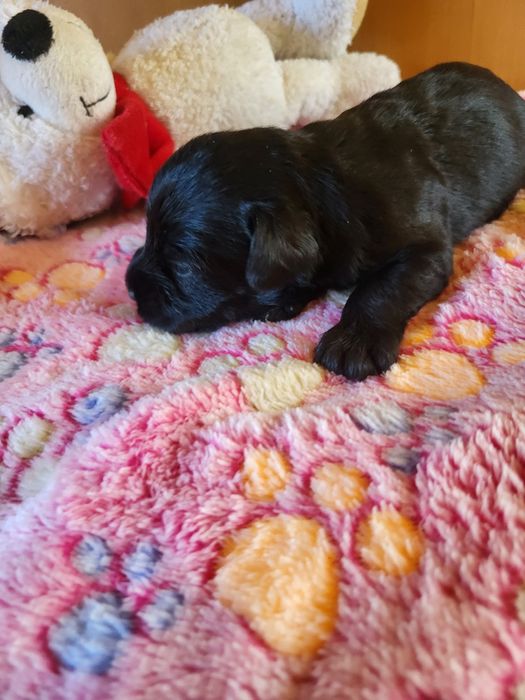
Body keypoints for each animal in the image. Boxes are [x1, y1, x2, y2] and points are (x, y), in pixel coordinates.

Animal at [126, 62, 525, 381]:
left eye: (181, 263)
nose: (129, 286)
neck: (319, 184)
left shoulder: (424, 249)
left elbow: (380, 289)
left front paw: (353, 342)